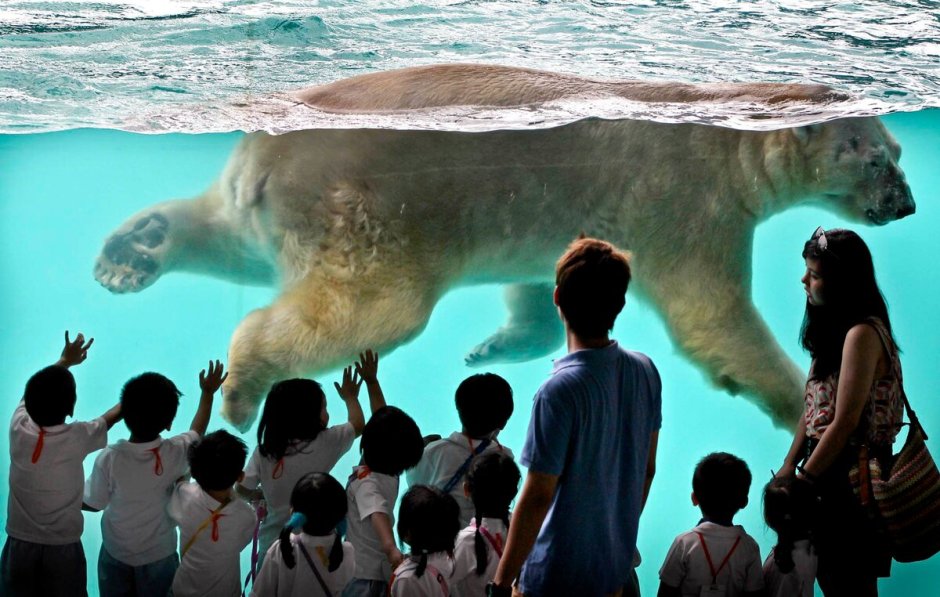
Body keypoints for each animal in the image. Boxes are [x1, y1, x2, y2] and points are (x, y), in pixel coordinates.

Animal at [93, 64, 915, 431]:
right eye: (876, 157)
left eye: (898, 150)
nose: (907, 205)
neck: (726, 129)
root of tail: (266, 156)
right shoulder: (686, 204)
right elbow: (713, 317)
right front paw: (794, 402)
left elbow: (544, 286)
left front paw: (494, 344)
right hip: (367, 213)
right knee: (370, 307)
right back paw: (241, 387)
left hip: (273, 204)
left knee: (228, 233)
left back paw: (132, 251)